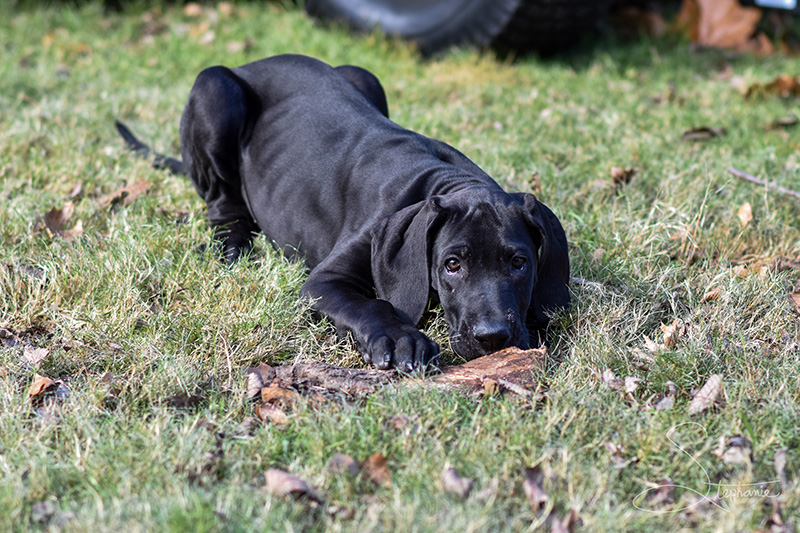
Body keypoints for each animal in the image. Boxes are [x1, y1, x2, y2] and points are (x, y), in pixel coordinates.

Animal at [117, 53, 568, 370]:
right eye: (452, 264)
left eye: (519, 263)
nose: (493, 338)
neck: (441, 180)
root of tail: (255, 61)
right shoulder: (323, 281)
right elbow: (371, 305)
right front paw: (399, 339)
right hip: (214, 87)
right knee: (221, 203)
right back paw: (232, 244)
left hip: (366, 76)